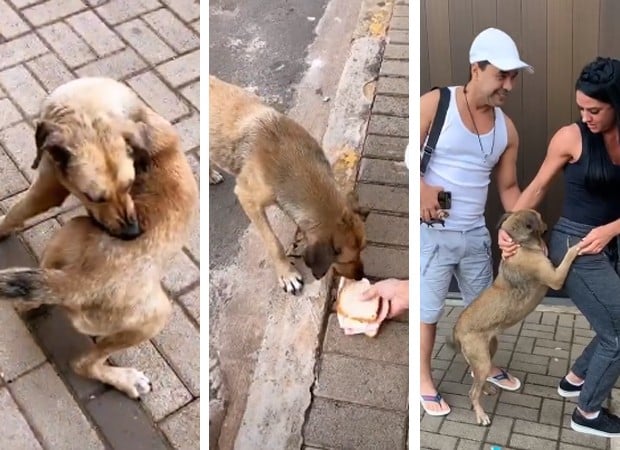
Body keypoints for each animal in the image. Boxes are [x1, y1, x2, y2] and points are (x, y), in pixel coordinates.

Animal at [0, 77, 199, 398]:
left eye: (130, 184)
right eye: (94, 197)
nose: (133, 234)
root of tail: (80, 283)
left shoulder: (47, 188)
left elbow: (13, 214)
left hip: (151, 312)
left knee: (83, 364)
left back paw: (125, 379)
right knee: (29, 299)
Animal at [208, 75, 368, 294]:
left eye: (363, 249)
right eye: (344, 259)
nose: (361, 277)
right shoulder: (247, 198)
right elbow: (273, 243)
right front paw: (287, 274)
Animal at [446, 210, 580, 426]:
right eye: (540, 217)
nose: (547, 226)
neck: (521, 244)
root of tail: (457, 328)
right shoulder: (556, 278)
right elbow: (569, 256)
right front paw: (577, 246)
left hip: (488, 350)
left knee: (476, 377)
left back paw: (486, 389)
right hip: (482, 359)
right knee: (472, 392)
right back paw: (481, 415)